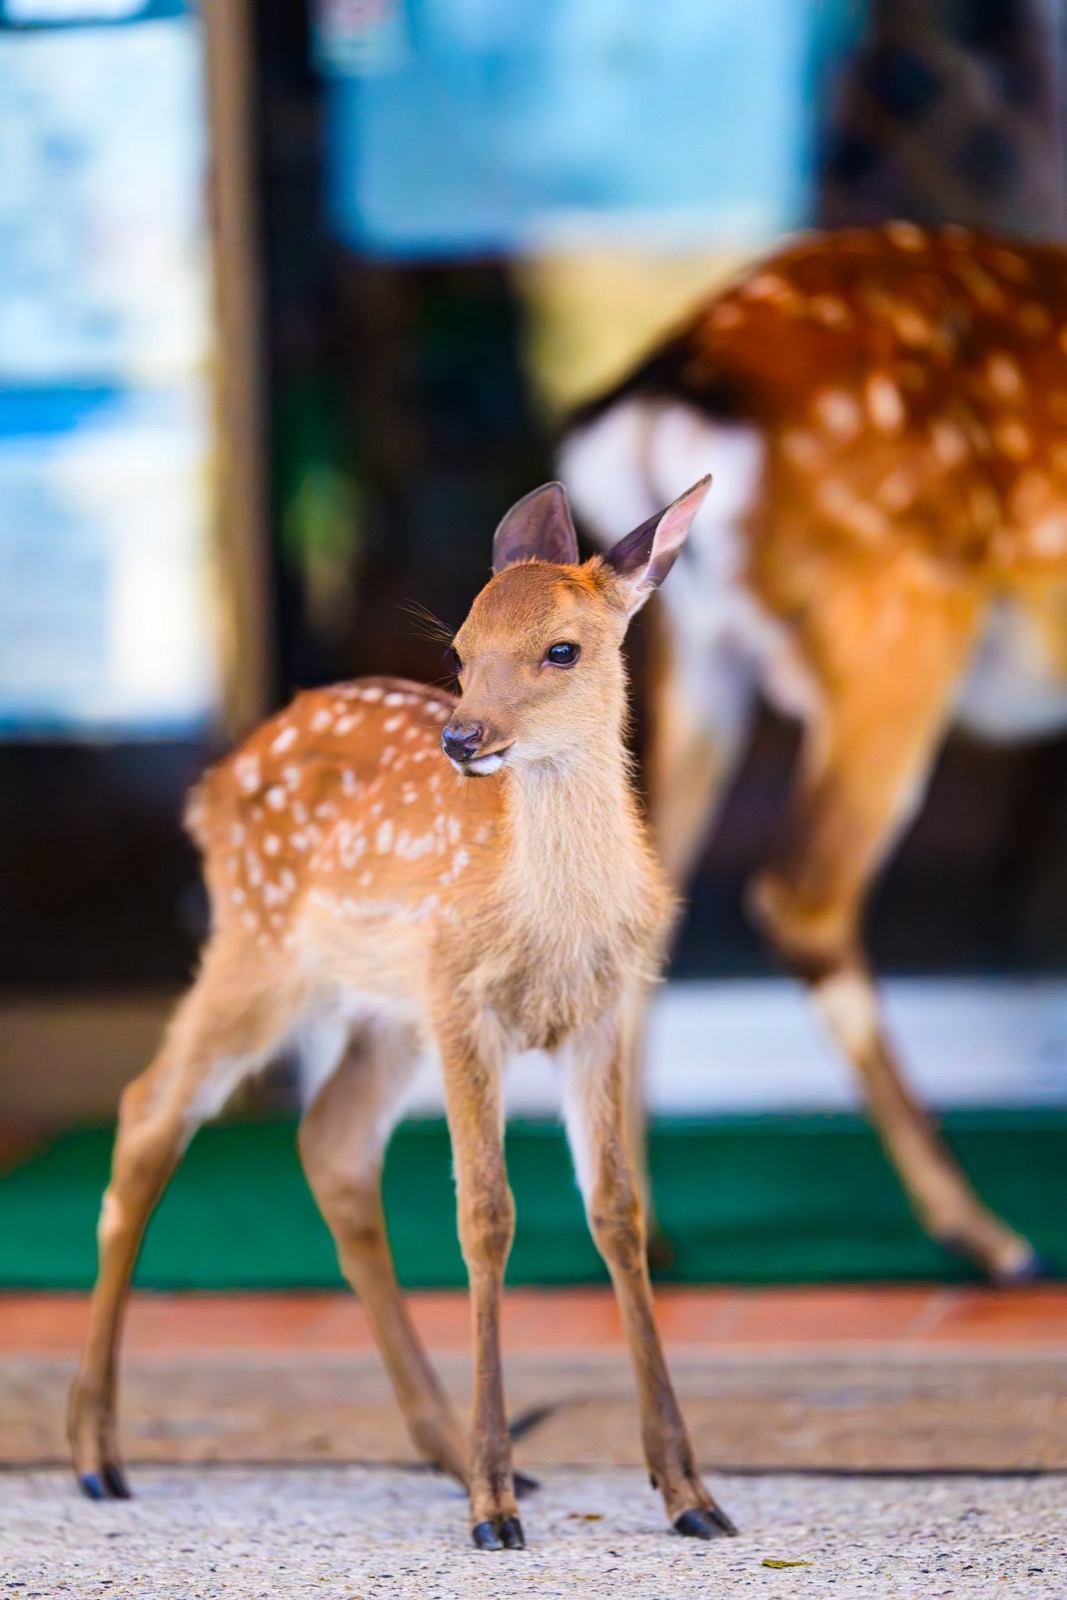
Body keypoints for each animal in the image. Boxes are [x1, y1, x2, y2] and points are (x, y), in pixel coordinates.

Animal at [68, 477, 738, 1549]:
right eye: (459, 650)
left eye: (563, 648)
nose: (460, 738)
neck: (551, 919)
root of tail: (212, 785)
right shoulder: (464, 1001)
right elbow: (485, 1213)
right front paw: (492, 1507)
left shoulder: (603, 1011)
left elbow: (616, 1211)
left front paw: (688, 1493)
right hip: (263, 949)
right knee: (149, 1110)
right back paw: (96, 1456)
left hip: (385, 1007)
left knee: (331, 1139)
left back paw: (440, 1448)